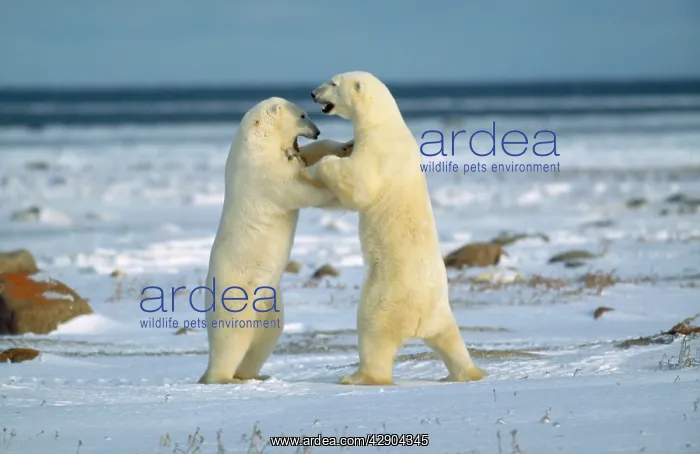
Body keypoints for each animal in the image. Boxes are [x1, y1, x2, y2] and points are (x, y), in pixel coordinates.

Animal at [198, 97, 352, 385]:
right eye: (302, 115)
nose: (317, 130)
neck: (257, 143)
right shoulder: (264, 174)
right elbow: (299, 188)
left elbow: (308, 155)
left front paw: (345, 146)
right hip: (236, 295)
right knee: (233, 336)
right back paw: (223, 378)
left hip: (270, 301)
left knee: (265, 336)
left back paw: (256, 375)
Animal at [300, 71, 487, 385]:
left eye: (333, 83)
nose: (313, 93)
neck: (384, 122)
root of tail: (419, 321)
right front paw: (342, 146)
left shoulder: (379, 152)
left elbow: (359, 184)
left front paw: (321, 164)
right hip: (441, 312)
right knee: (451, 339)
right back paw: (468, 373)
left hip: (383, 298)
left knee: (372, 333)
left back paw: (357, 377)